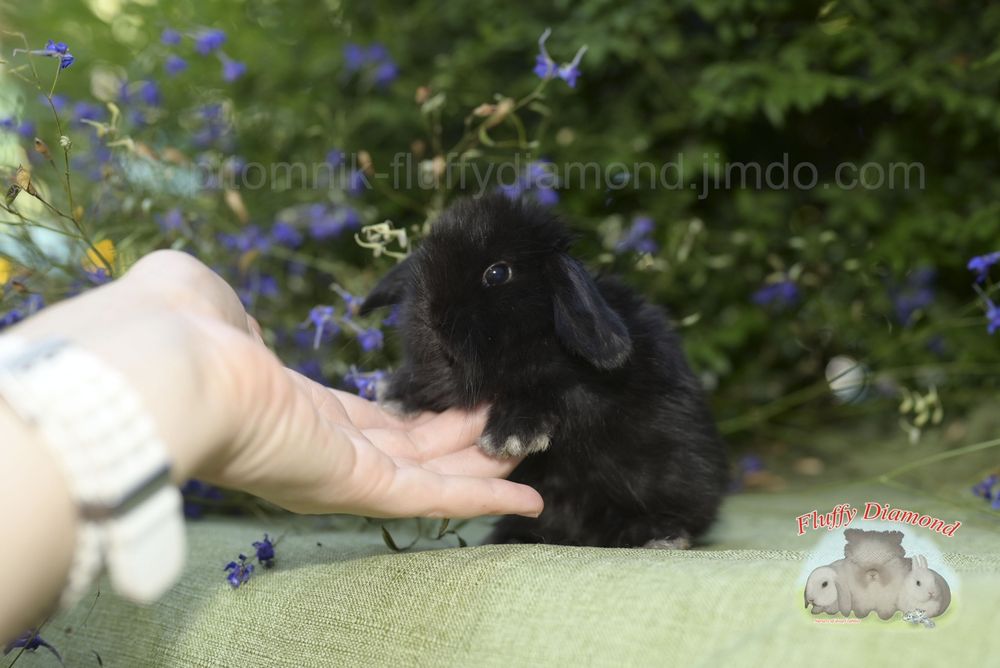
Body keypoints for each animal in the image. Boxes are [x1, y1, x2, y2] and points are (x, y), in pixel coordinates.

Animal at [359, 194, 728, 547]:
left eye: (497, 273)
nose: (431, 319)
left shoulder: (587, 394)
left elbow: (548, 392)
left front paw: (509, 436)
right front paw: (396, 394)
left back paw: (661, 535)